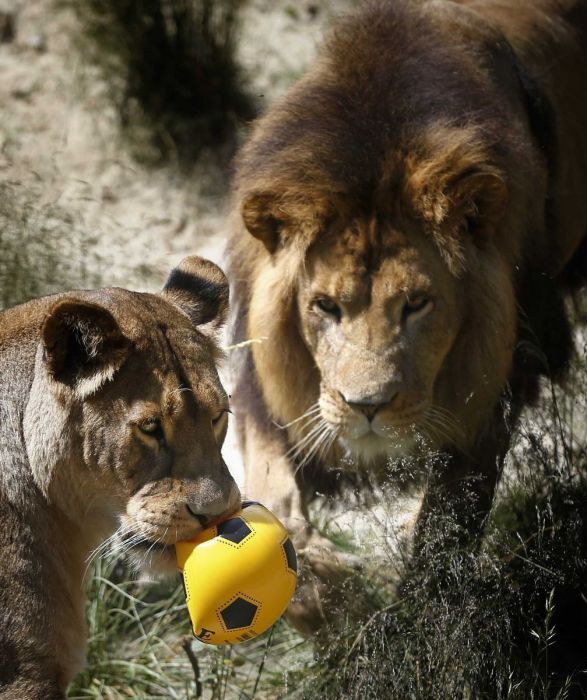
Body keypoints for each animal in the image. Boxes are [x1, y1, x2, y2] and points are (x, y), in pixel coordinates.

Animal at [227, 0, 587, 624]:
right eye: (325, 306)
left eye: (417, 304)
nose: (367, 407)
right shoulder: (267, 396)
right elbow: (272, 507)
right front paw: (331, 596)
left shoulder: (495, 392)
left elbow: (443, 538)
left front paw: (408, 626)